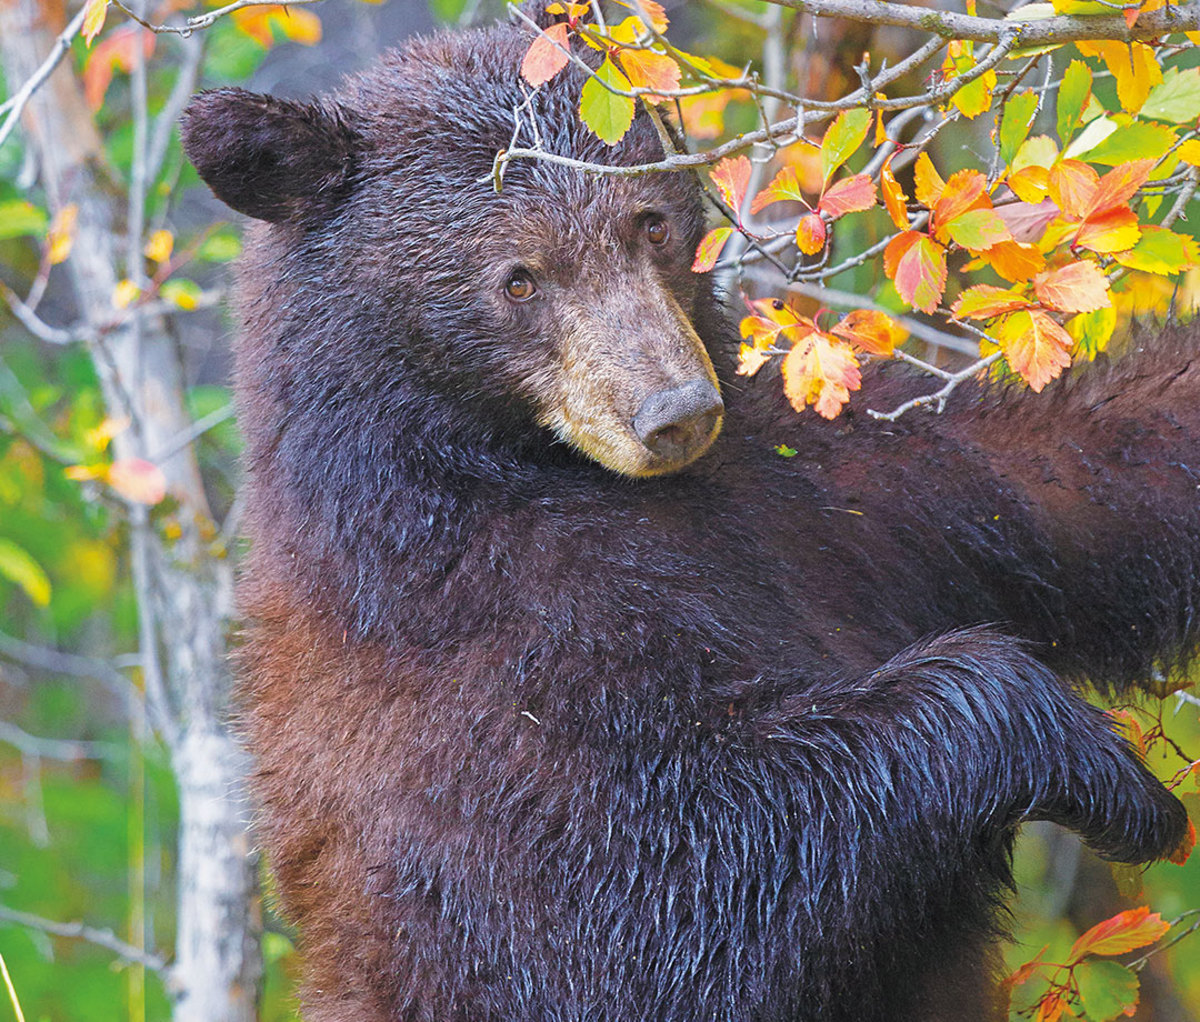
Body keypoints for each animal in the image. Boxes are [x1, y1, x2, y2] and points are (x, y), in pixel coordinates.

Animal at [182, 3, 1195, 1017]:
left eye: (652, 224)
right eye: (519, 278)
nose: (675, 412)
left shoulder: (837, 480)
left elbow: (1080, 471)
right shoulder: (464, 654)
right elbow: (653, 897)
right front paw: (1103, 769)